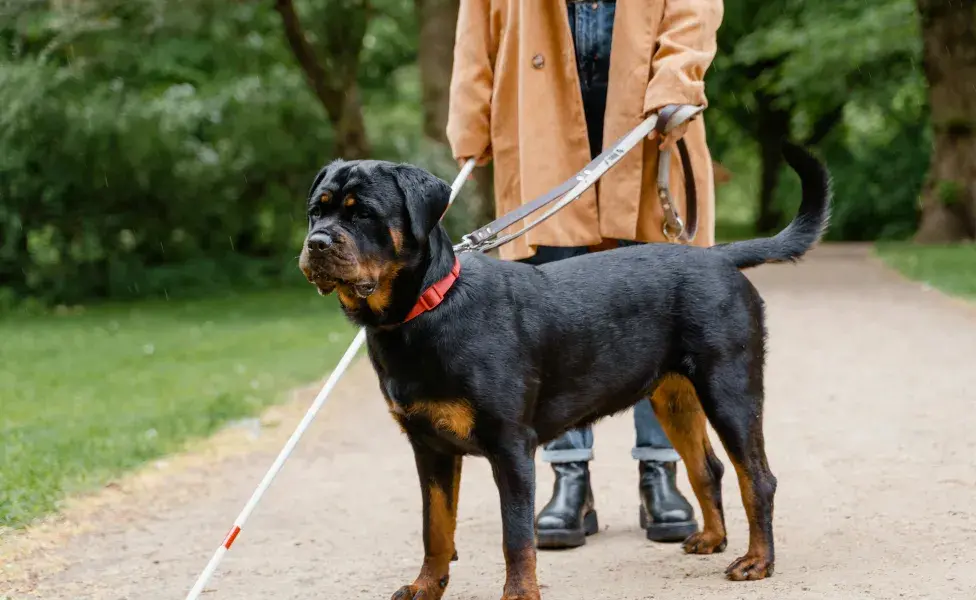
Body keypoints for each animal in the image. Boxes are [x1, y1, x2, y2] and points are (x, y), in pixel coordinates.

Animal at [298, 143, 832, 596]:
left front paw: (518, 595)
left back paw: (757, 561)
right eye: (316, 211)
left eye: (363, 212)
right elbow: (436, 529)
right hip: (675, 398)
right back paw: (712, 538)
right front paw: (426, 588)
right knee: (709, 469)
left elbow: (516, 537)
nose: (317, 242)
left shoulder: (510, 447)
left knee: (757, 478)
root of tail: (719, 256)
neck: (426, 310)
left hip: (730, 391)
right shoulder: (429, 448)